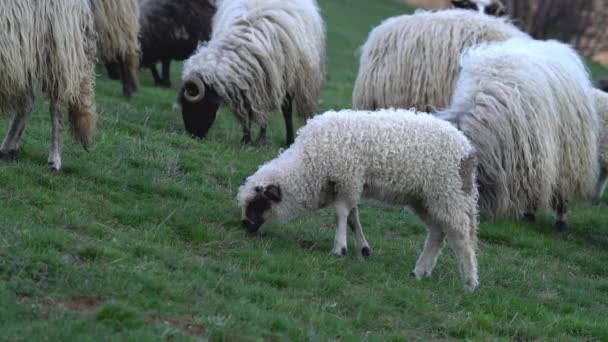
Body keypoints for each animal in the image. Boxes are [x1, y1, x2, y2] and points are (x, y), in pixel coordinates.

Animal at [0, 0, 97, 171]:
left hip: (56, 55)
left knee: (56, 110)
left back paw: (54, 160)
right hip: (25, 58)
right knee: (27, 103)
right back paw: (7, 149)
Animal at [178, 0, 326, 146]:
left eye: (195, 106)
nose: (193, 136)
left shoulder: (278, 80)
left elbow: (285, 111)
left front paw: (282, 141)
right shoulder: (249, 83)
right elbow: (247, 110)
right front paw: (247, 140)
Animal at [238, 109, 480, 292]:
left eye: (257, 203)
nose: (245, 225)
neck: (308, 165)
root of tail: (467, 148)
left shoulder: (348, 179)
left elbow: (342, 214)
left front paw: (339, 249)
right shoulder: (347, 185)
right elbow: (353, 217)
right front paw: (363, 248)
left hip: (449, 192)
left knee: (461, 236)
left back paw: (469, 282)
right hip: (426, 199)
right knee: (438, 233)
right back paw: (419, 271)